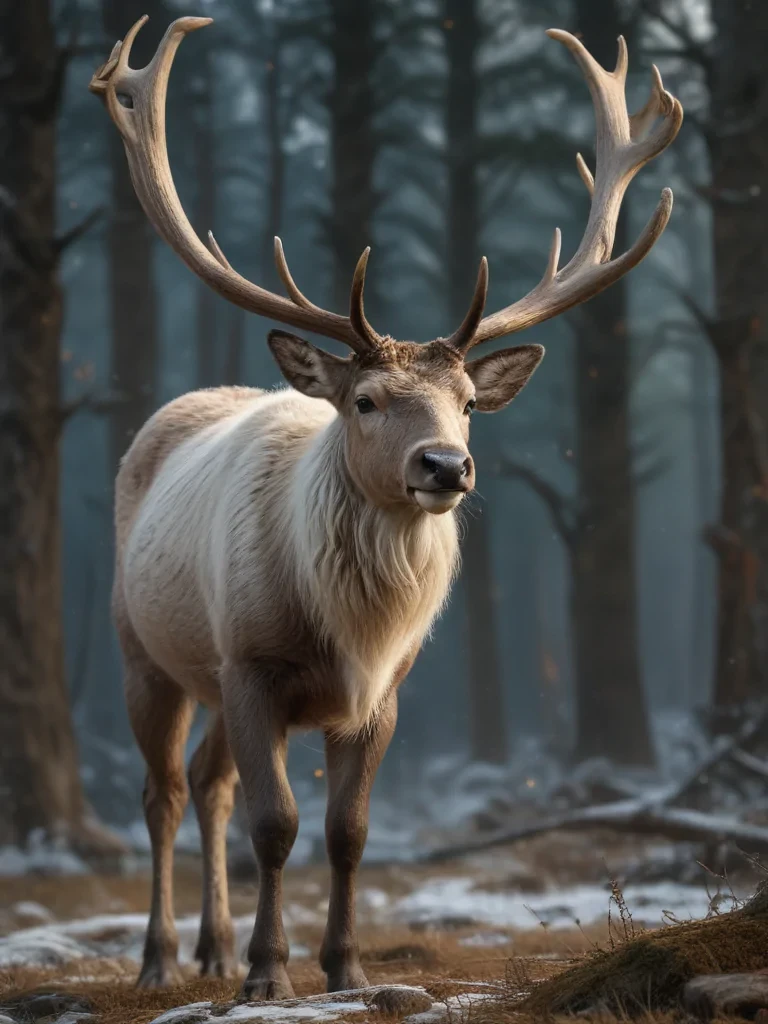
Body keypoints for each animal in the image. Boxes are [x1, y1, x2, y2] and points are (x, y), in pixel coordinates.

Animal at [89, 14, 682, 999]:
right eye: (365, 401)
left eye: (470, 402)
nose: (446, 465)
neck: (348, 631)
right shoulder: (252, 663)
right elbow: (277, 826)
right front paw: (269, 976)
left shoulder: (384, 692)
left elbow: (348, 833)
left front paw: (343, 968)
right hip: (146, 649)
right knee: (165, 792)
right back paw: (163, 958)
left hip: (206, 672)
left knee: (210, 785)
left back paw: (212, 947)